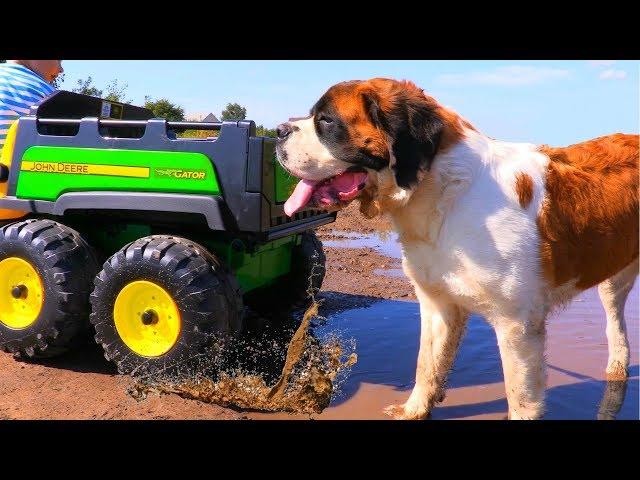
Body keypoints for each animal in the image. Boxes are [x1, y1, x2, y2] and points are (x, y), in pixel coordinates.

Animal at [276, 77, 640, 418]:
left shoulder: (517, 324)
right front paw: (413, 410)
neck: (445, 194)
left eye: (326, 121)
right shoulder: (439, 304)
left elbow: (520, 397)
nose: (279, 130)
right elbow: (428, 365)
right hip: (613, 278)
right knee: (615, 322)